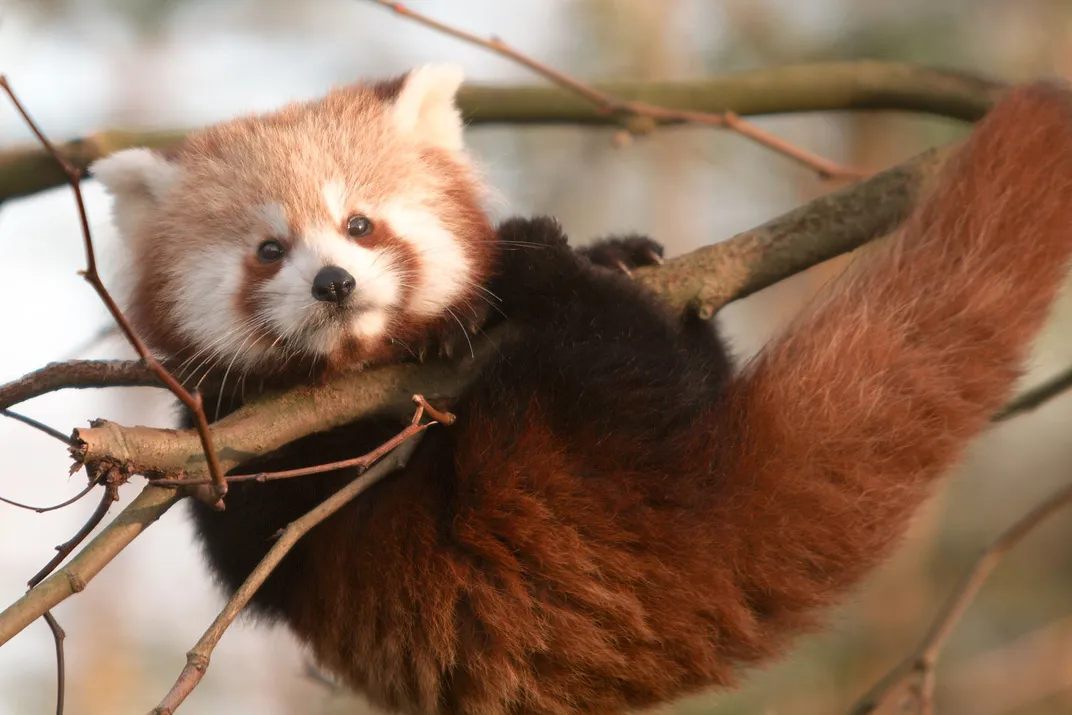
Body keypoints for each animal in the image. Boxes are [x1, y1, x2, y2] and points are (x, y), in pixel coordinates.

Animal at [92, 64, 1072, 711]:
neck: (360, 366)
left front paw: (471, 310)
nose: (333, 284)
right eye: (269, 249)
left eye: (359, 224)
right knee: (617, 352)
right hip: (578, 451)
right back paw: (556, 268)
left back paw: (604, 260)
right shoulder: (224, 452)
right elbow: (266, 519)